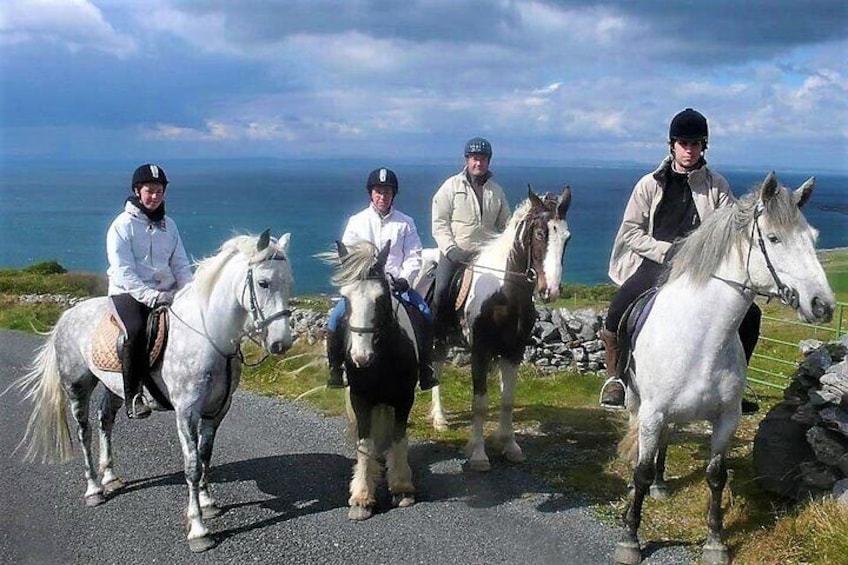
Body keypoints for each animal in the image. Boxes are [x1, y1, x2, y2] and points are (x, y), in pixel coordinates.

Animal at [8, 229, 294, 552]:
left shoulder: (216, 411)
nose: (282, 343)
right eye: (263, 282)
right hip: (77, 386)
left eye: (289, 281)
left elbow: (205, 455)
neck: (208, 337)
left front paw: (208, 503)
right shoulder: (186, 412)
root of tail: (67, 316)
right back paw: (94, 489)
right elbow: (192, 465)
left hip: (115, 388)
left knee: (105, 420)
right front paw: (198, 529)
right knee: (84, 432)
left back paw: (110, 477)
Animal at [332, 239, 424, 520]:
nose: (361, 358)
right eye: (345, 298)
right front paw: (362, 497)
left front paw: (402, 488)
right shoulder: (360, 399)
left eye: (381, 298)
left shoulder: (404, 398)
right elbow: (365, 443)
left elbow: (398, 438)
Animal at [428, 187, 572, 470]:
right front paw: (478, 454)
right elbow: (480, 403)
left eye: (566, 238)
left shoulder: (513, 352)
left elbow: (507, 400)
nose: (550, 291)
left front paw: (510, 445)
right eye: (540, 234)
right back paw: (439, 419)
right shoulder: (480, 353)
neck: (502, 293)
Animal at [608, 173, 836, 564]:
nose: (823, 306)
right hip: (638, 404)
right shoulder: (652, 412)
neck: (701, 339)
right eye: (773, 238)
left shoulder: (727, 417)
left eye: (813, 238)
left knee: (666, 442)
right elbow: (640, 470)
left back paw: (660, 485)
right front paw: (630, 538)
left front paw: (715, 542)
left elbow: (716, 476)